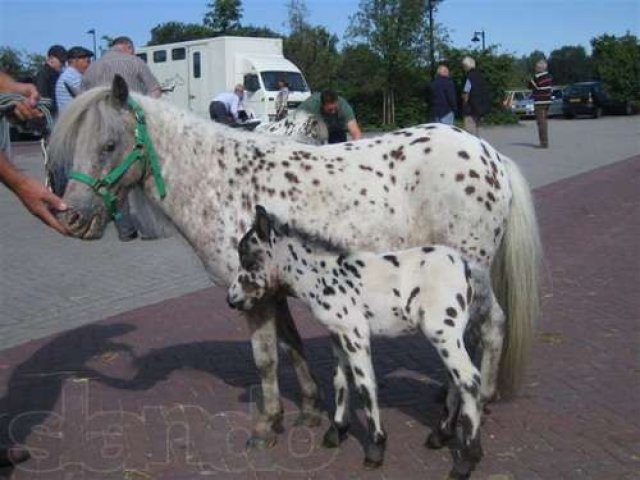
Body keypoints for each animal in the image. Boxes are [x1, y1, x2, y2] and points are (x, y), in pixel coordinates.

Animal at [229, 206, 484, 476]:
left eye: (249, 261)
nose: (231, 300)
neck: (321, 276)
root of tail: (465, 268)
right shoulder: (337, 334)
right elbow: (340, 380)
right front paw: (336, 432)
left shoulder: (355, 334)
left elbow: (365, 385)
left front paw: (375, 448)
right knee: (455, 379)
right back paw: (440, 436)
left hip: (443, 332)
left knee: (469, 380)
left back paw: (467, 459)